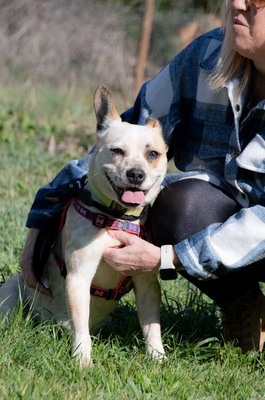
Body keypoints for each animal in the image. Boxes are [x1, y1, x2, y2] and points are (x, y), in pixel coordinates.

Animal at [0, 86, 167, 368]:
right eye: (117, 151)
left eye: (153, 154)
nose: (136, 174)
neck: (116, 217)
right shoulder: (79, 277)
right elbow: (81, 327)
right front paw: (83, 361)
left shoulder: (146, 283)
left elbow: (152, 326)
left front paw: (158, 357)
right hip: (12, 293)